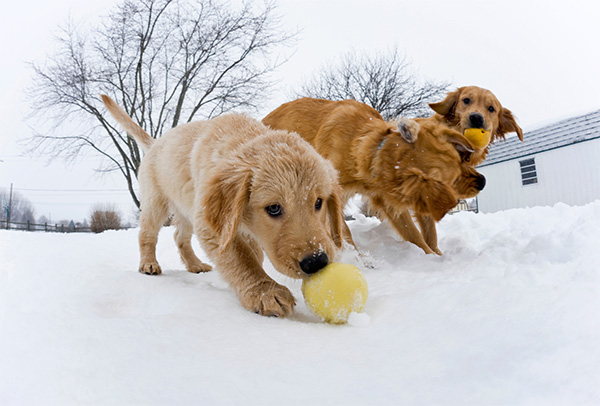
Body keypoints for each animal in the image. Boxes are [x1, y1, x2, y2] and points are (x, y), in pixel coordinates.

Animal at [102, 94, 346, 318]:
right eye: (274, 208)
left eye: (318, 202)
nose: (317, 262)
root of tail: (155, 143)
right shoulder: (213, 224)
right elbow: (240, 257)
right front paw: (264, 291)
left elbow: (252, 253)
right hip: (156, 202)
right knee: (147, 235)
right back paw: (148, 264)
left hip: (187, 208)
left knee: (180, 237)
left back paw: (195, 265)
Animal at [262, 97, 482, 254]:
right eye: (452, 180)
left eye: (461, 160)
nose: (483, 181)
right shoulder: (332, 196)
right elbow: (343, 232)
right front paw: (358, 259)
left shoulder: (386, 199)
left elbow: (414, 235)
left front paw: (432, 257)